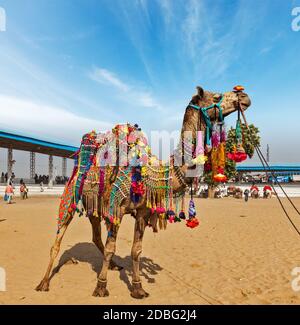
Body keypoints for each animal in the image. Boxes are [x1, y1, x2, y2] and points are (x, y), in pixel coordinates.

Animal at [35, 85, 251, 298]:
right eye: (216, 96)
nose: (244, 96)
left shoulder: (142, 212)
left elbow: (136, 250)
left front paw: (138, 288)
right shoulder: (117, 208)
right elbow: (111, 248)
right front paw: (101, 287)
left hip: (94, 207)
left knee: (96, 236)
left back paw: (114, 266)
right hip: (72, 196)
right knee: (59, 239)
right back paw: (43, 283)